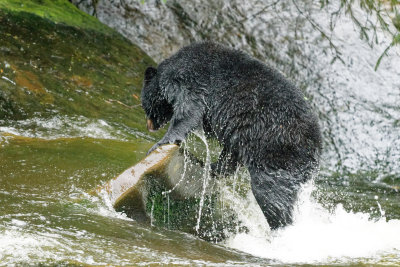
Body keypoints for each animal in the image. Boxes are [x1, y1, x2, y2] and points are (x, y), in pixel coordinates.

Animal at [141, 42, 322, 230]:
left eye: (144, 105)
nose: (149, 126)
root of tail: (317, 149)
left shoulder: (190, 79)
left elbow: (189, 111)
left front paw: (160, 143)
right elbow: (229, 154)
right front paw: (211, 166)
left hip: (278, 152)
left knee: (272, 194)